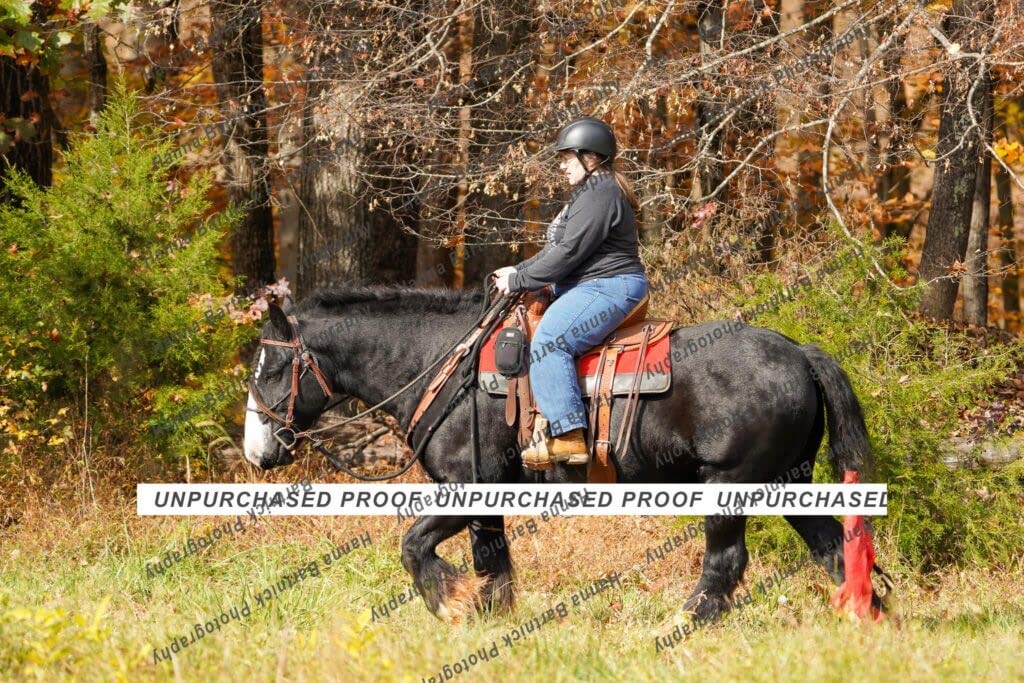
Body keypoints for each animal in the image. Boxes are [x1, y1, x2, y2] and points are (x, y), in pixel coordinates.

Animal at [242, 285, 887, 622]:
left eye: (271, 368)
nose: (256, 452)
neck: (444, 365)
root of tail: (800, 353)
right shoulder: (487, 501)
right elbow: (492, 563)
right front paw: (489, 618)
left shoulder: (465, 487)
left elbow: (415, 546)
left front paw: (449, 602)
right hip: (788, 482)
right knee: (835, 549)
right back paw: (870, 619)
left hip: (730, 486)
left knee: (726, 563)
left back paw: (683, 624)